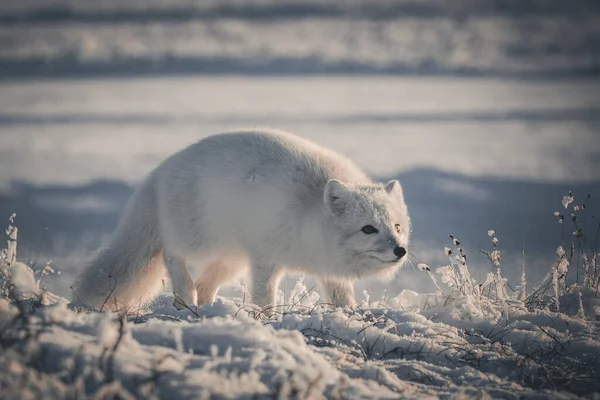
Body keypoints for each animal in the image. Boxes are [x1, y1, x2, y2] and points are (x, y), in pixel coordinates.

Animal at [69, 130, 408, 310]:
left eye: (396, 226)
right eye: (368, 229)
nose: (400, 250)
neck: (309, 214)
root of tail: (163, 168)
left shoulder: (328, 271)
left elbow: (342, 300)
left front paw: (350, 317)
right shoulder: (264, 259)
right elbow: (263, 297)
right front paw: (267, 321)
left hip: (231, 259)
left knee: (205, 284)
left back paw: (204, 306)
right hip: (200, 240)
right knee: (172, 254)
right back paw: (184, 297)